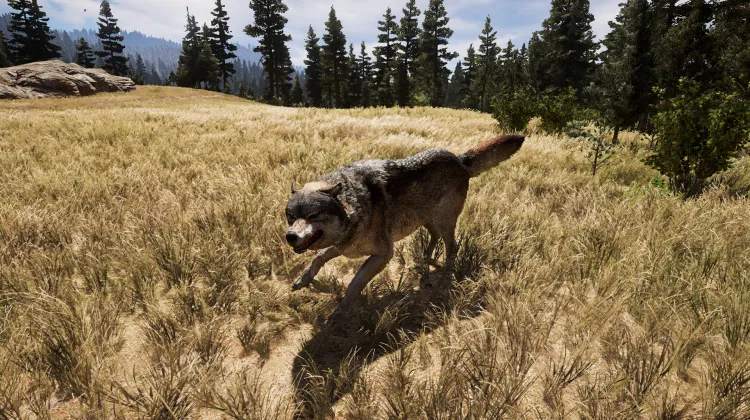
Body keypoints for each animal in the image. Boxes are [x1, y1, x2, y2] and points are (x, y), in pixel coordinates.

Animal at [285, 134, 525, 311]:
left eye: (313, 215)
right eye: (290, 216)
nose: (290, 237)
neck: (355, 206)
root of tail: (459, 159)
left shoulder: (383, 254)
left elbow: (354, 284)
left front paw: (340, 312)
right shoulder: (344, 246)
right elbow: (317, 258)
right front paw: (303, 280)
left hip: (444, 222)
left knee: (452, 247)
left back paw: (445, 275)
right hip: (425, 221)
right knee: (434, 238)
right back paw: (424, 259)